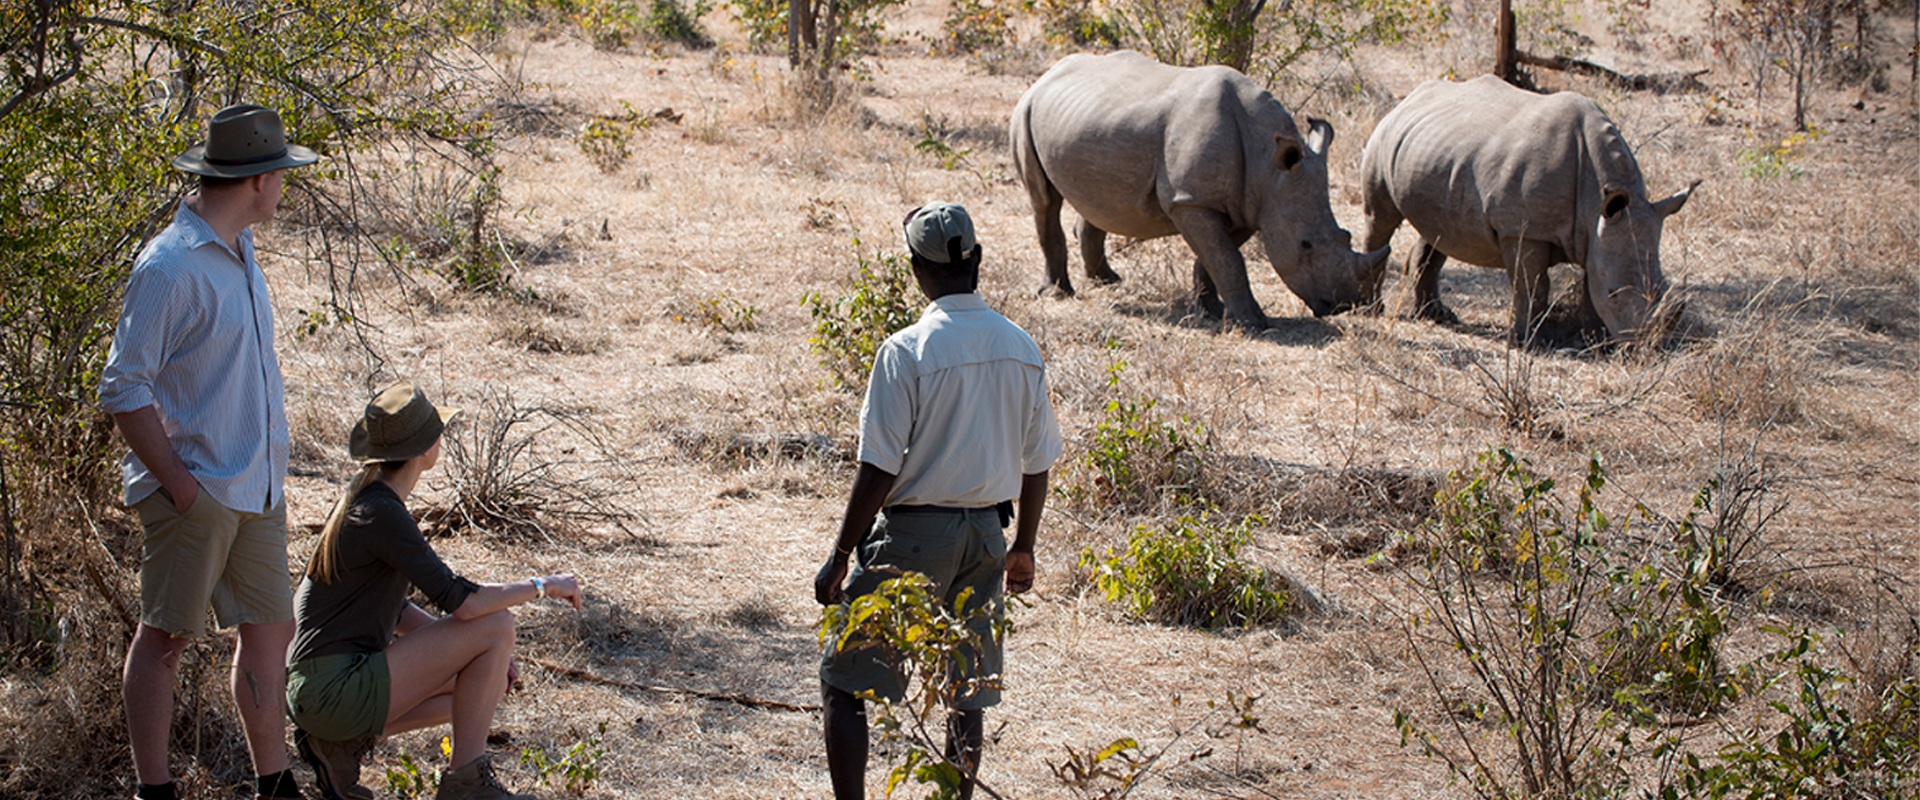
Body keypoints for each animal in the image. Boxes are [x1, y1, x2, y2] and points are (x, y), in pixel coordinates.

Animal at [1013, 50, 1390, 329]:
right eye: (1305, 244)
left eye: (1345, 236)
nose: (1342, 306)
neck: (1268, 165)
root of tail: (1046, 75)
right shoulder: (1191, 202)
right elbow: (1228, 259)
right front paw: (1253, 323)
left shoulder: (1246, 205)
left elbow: (1216, 258)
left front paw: (1212, 310)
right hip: (1025, 110)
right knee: (1044, 200)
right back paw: (1057, 294)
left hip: (1089, 118)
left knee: (1101, 199)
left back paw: (1108, 281)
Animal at [1367, 76, 1697, 345]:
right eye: (1614, 292)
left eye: (1664, 288)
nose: (1645, 347)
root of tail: (1408, 99)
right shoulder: (1523, 230)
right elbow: (1533, 285)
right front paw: (1526, 341)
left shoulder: (1598, 233)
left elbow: (1590, 283)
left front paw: (1593, 337)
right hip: (1383, 136)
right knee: (1381, 219)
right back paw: (1373, 308)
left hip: (1437, 152)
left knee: (1439, 230)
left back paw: (1436, 316)